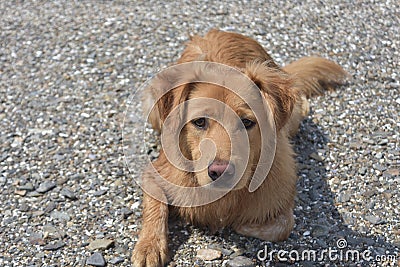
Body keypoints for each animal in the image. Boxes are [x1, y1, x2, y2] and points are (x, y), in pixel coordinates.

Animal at [130, 28, 346, 266]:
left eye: (247, 122)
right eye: (200, 121)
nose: (220, 172)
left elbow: (282, 226)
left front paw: (239, 224)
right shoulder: (155, 171)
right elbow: (155, 205)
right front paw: (149, 246)